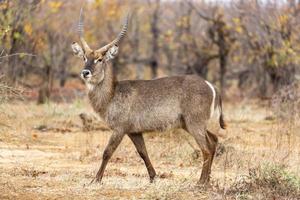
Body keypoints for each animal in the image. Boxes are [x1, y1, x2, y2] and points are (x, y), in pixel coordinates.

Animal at [71, 10, 225, 185]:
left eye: (100, 59)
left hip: (195, 123)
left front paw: (96, 180)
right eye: (84, 57)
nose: (85, 72)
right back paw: (207, 180)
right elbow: (143, 152)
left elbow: (107, 152)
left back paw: (201, 182)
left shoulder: (119, 129)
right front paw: (153, 177)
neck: (112, 94)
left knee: (206, 149)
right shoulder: (134, 131)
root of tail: (211, 85)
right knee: (213, 141)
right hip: (189, 124)